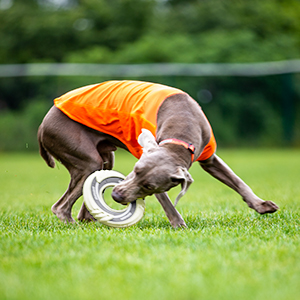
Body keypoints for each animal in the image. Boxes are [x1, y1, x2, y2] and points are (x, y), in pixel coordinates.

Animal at [37, 79, 278, 227]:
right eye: (135, 170)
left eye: (148, 186)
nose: (116, 196)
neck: (183, 125)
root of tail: (41, 126)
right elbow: (169, 204)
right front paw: (180, 225)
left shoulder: (209, 157)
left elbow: (238, 181)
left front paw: (262, 205)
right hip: (85, 157)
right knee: (60, 207)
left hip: (104, 158)